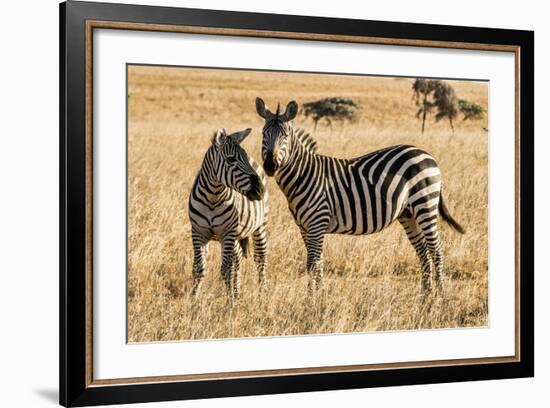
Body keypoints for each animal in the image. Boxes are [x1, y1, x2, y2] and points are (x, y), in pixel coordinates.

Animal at [189, 128, 268, 300]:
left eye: (244, 156)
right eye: (231, 159)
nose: (259, 190)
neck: (212, 197)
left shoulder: (228, 234)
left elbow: (225, 270)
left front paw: (230, 303)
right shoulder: (198, 233)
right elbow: (199, 269)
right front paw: (193, 300)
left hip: (260, 225)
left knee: (260, 259)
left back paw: (262, 296)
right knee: (237, 261)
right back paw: (237, 293)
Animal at [256, 100, 464, 294]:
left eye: (285, 135)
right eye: (263, 134)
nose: (270, 166)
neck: (304, 175)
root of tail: (427, 154)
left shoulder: (317, 224)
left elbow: (313, 263)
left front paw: (313, 297)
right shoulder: (305, 228)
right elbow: (316, 264)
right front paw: (316, 295)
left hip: (425, 204)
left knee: (436, 250)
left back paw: (440, 295)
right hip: (408, 213)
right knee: (423, 252)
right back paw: (425, 295)